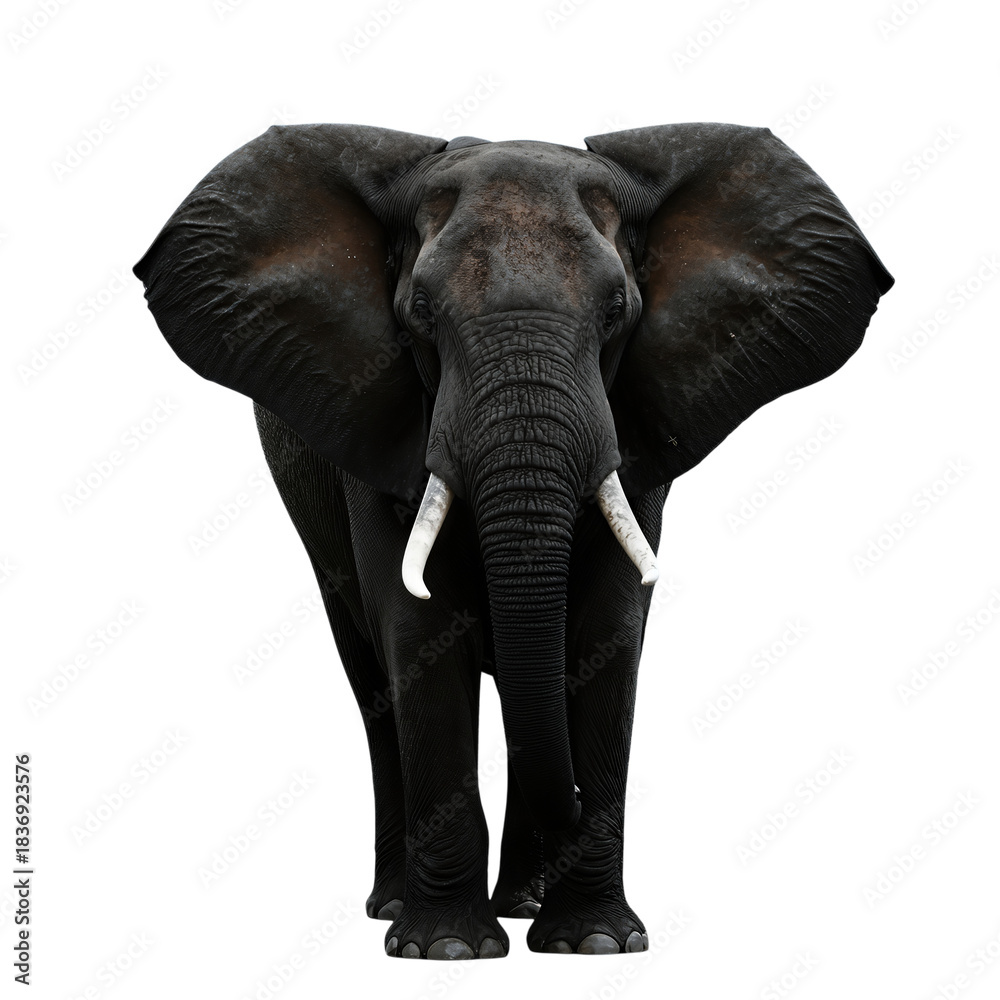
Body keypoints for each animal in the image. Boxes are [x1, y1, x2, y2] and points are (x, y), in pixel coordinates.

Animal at [134, 122, 892, 959]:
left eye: (618, 310)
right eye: (420, 311)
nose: (575, 801)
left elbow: (603, 633)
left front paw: (595, 943)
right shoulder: (380, 425)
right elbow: (421, 632)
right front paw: (443, 949)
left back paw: (526, 906)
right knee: (372, 684)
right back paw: (396, 906)